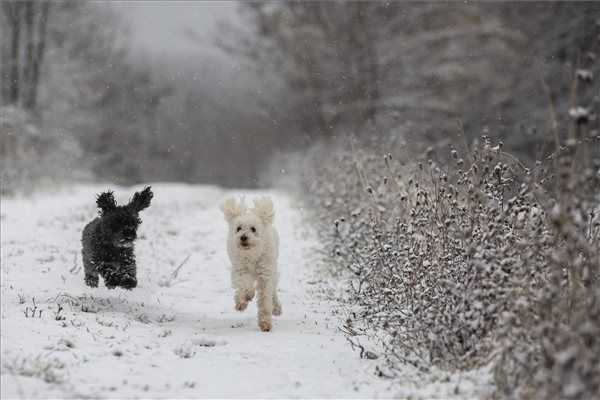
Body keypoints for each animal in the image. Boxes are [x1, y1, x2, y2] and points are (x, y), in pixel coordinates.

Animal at [220, 197, 282, 332]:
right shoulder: (240, 269)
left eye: (253, 229)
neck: (252, 254)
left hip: (274, 271)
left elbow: (265, 298)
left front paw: (265, 323)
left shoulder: (265, 274)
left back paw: (276, 308)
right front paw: (243, 300)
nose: (243, 237)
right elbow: (243, 285)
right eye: (238, 228)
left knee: (273, 291)